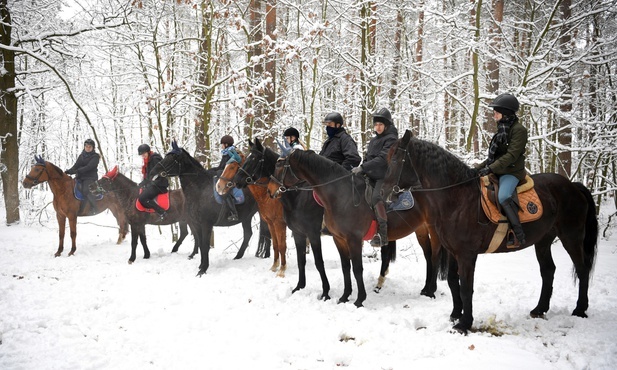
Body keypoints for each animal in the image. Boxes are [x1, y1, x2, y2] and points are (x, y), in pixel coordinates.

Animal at [153, 140, 262, 276]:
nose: (155, 169)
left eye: (173, 158)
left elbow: (205, 245)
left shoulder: (206, 224)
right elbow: (200, 244)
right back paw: (238, 256)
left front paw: (203, 270)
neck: (199, 190)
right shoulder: (196, 224)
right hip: (247, 217)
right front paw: (201, 266)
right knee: (248, 234)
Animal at [268, 147, 446, 306]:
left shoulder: (348, 238)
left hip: (434, 230)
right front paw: (344, 296)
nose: (270, 190)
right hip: (420, 230)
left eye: (279, 165)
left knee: (435, 256)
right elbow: (344, 266)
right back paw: (425, 289)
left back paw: (431, 291)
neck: (340, 195)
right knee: (428, 256)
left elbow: (355, 268)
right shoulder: (336, 238)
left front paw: (357, 299)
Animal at [382, 131, 596, 336]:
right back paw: (540, 309)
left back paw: (580, 309)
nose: (384, 192)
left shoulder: (467, 255)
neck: (457, 199)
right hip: (543, 240)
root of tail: (573, 186)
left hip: (571, 237)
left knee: (582, 269)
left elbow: (466, 287)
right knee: (548, 271)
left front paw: (464, 324)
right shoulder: (452, 251)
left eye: (396, 159)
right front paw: (455, 314)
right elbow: (452, 281)